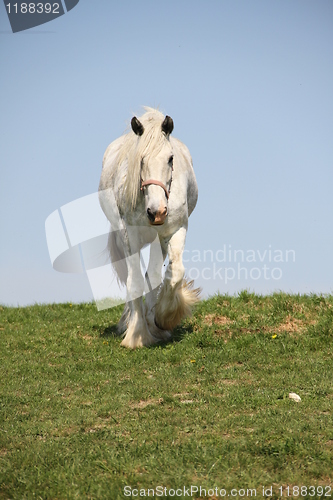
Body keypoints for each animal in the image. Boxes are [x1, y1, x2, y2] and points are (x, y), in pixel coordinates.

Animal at [97, 106, 198, 348]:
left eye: (170, 159)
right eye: (141, 160)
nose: (157, 212)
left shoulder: (175, 229)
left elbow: (172, 273)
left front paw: (163, 319)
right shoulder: (129, 235)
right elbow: (134, 282)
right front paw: (136, 334)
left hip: (157, 240)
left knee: (152, 275)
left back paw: (154, 323)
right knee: (132, 276)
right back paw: (131, 322)